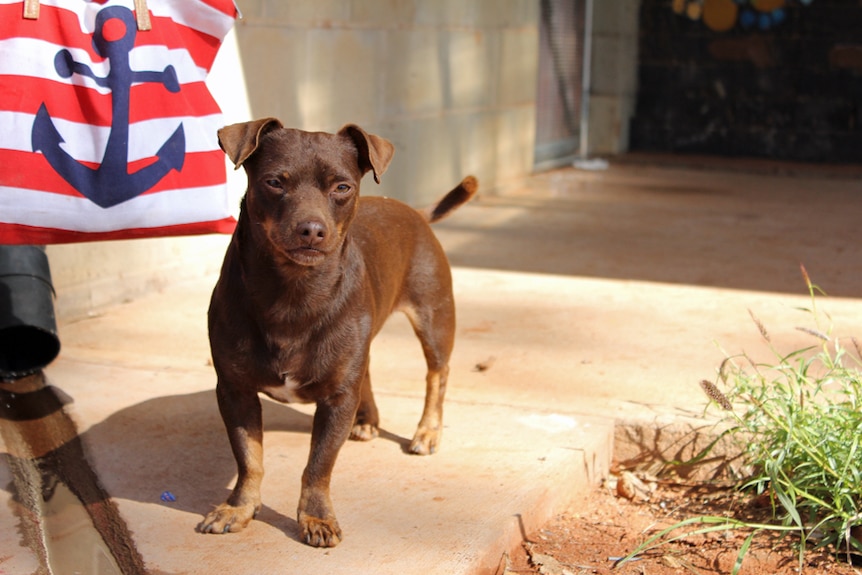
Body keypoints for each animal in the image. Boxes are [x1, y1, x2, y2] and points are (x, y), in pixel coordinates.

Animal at [198, 118, 476, 548]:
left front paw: (316, 517)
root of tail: (414, 211)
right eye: (274, 182)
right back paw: (368, 419)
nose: (311, 230)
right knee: (370, 370)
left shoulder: (337, 398)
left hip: (435, 318)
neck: (293, 292)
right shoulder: (235, 391)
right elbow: (249, 459)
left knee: (437, 375)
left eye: (342, 187)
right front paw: (239, 508)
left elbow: (318, 464)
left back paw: (427, 431)